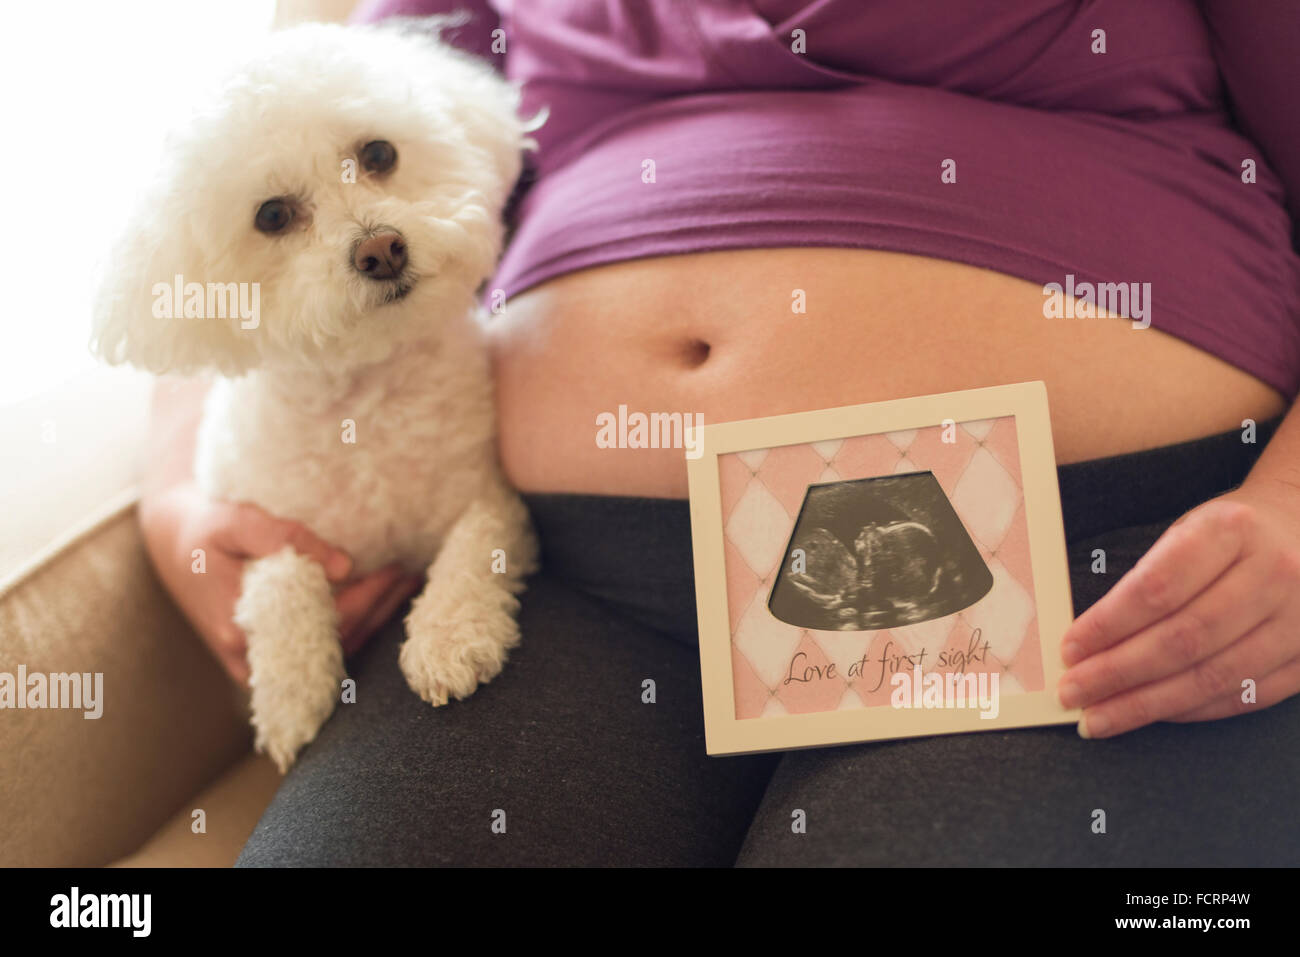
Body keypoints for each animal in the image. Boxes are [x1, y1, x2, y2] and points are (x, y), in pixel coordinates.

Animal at [91, 22, 538, 769]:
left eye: (379, 153)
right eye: (272, 215)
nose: (381, 250)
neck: (363, 398)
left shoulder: (484, 493)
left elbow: (475, 547)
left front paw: (450, 635)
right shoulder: (261, 523)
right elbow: (280, 581)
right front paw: (290, 694)